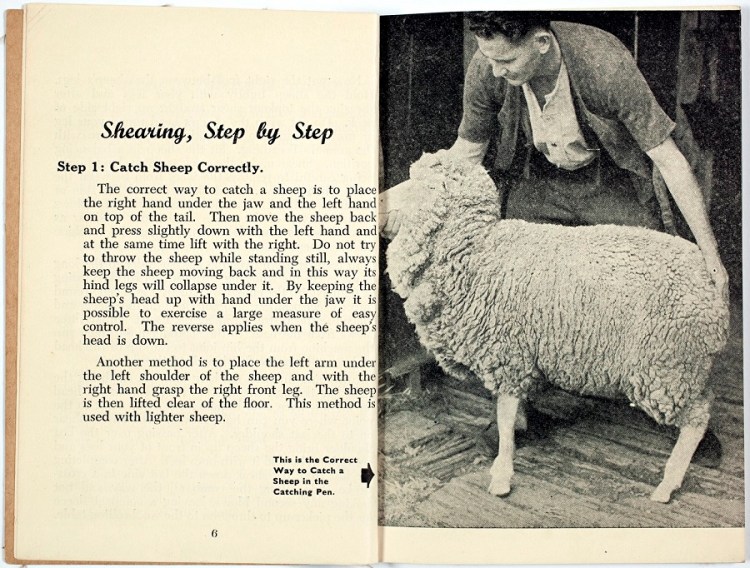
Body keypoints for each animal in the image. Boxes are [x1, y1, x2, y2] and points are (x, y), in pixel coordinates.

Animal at [385, 150, 729, 504]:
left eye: (417, 186)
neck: (476, 251)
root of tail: (704, 271)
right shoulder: (518, 353)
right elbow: (512, 411)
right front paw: (518, 434)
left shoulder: (507, 353)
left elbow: (505, 415)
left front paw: (502, 473)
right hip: (679, 363)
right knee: (704, 400)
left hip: (667, 362)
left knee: (697, 416)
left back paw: (668, 482)